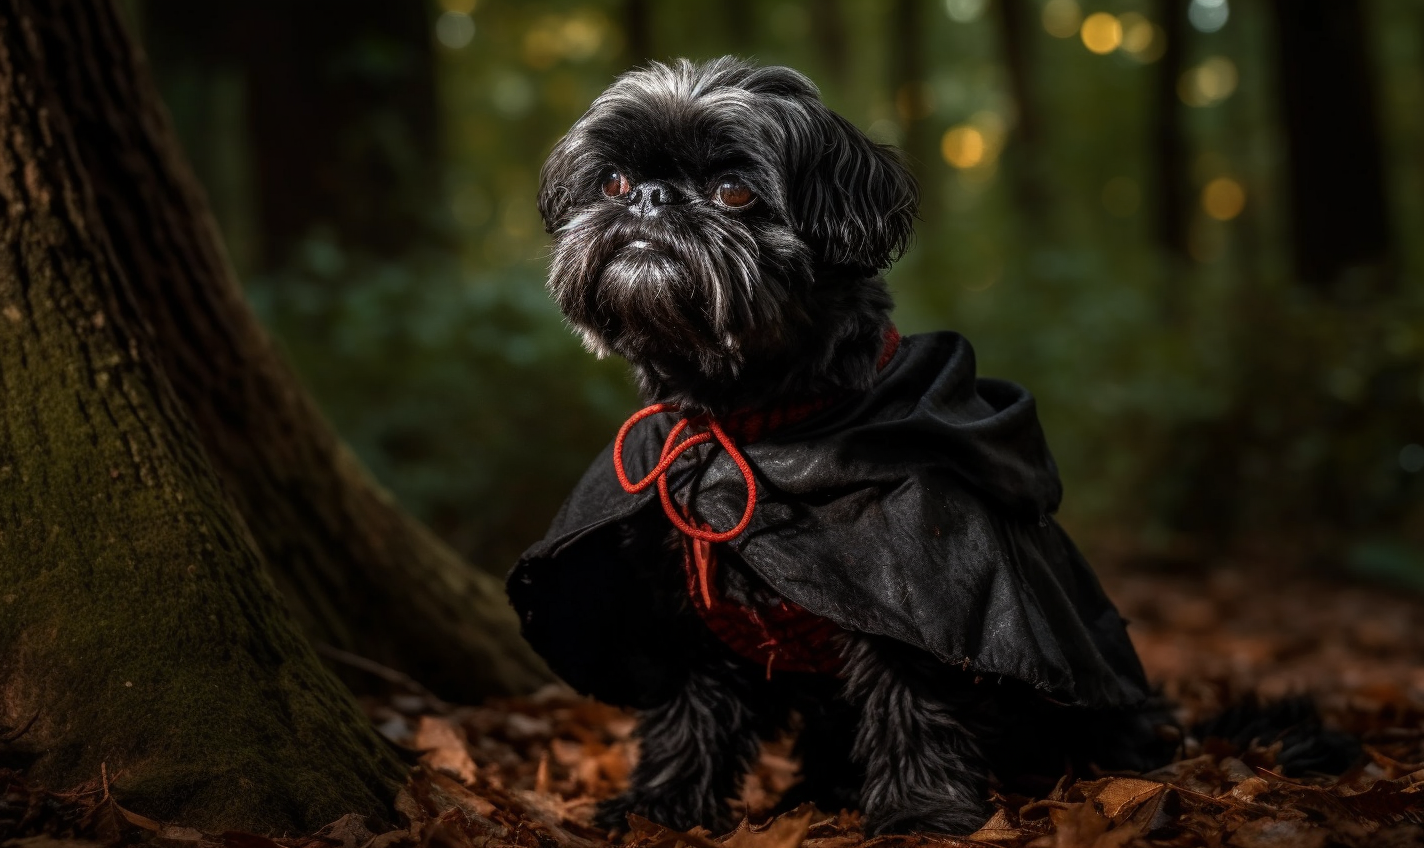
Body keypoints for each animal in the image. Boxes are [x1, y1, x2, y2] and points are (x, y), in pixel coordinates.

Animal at [506, 57, 1173, 836]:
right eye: (611, 182)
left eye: (734, 191)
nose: (648, 197)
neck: (746, 426)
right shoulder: (689, 620)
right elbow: (689, 711)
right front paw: (661, 803)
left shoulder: (914, 599)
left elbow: (911, 697)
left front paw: (919, 809)